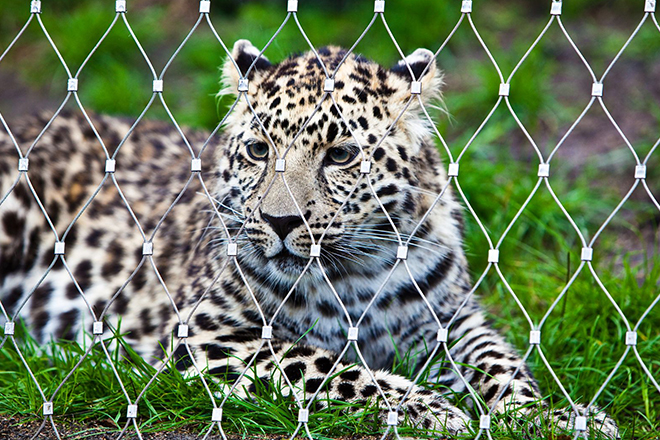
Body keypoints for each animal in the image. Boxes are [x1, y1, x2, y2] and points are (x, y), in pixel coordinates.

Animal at [0, 39, 620, 438]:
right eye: (258, 150)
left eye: (340, 155)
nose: (279, 222)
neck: (355, 275)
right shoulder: (208, 333)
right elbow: (325, 365)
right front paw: (428, 407)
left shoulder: (450, 320)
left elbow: (500, 364)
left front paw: (557, 415)